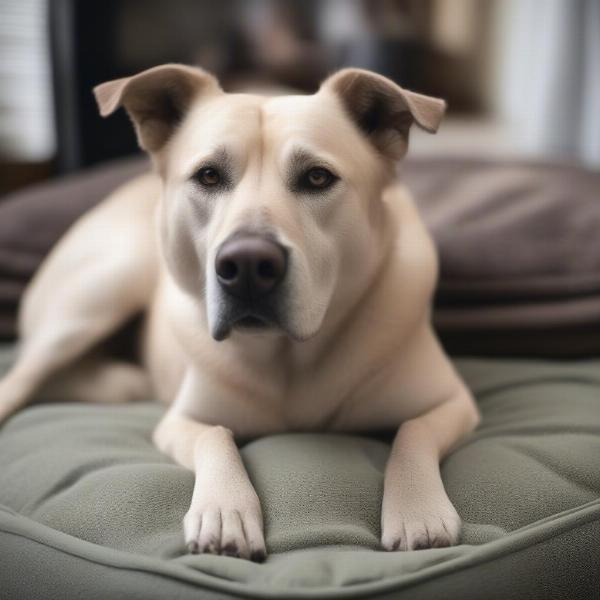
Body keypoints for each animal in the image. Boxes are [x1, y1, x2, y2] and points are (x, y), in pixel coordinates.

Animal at [0, 65, 480, 564]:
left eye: (317, 178)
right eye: (208, 176)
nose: (247, 265)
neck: (289, 358)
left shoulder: (455, 403)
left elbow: (413, 430)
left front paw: (418, 510)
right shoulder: (179, 421)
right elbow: (214, 437)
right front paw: (224, 510)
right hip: (102, 292)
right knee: (20, 377)